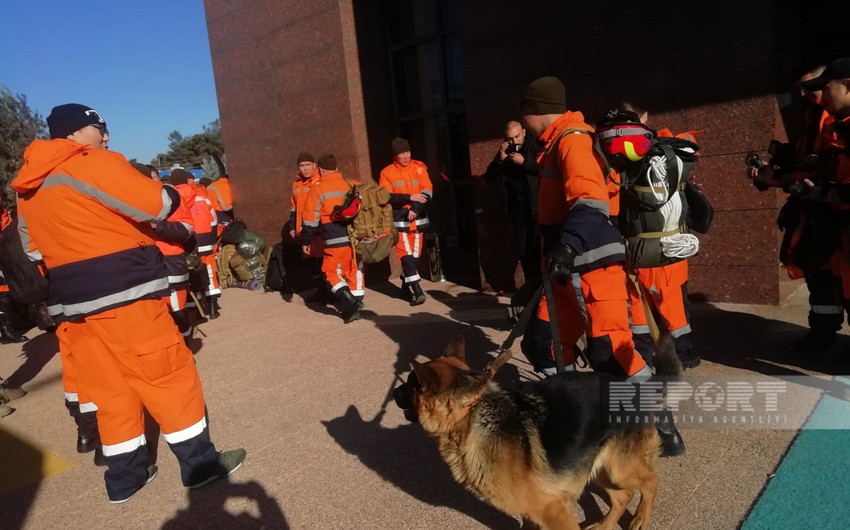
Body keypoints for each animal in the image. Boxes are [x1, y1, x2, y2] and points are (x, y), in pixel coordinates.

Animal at [392, 334, 684, 528]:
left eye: (409, 386)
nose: (393, 393)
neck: (470, 412)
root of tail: (636, 391)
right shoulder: (531, 511)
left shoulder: (553, 510)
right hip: (598, 467)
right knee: (623, 496)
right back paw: (604, 524)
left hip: (619, 469)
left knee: (650, 482)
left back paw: (640, 518)